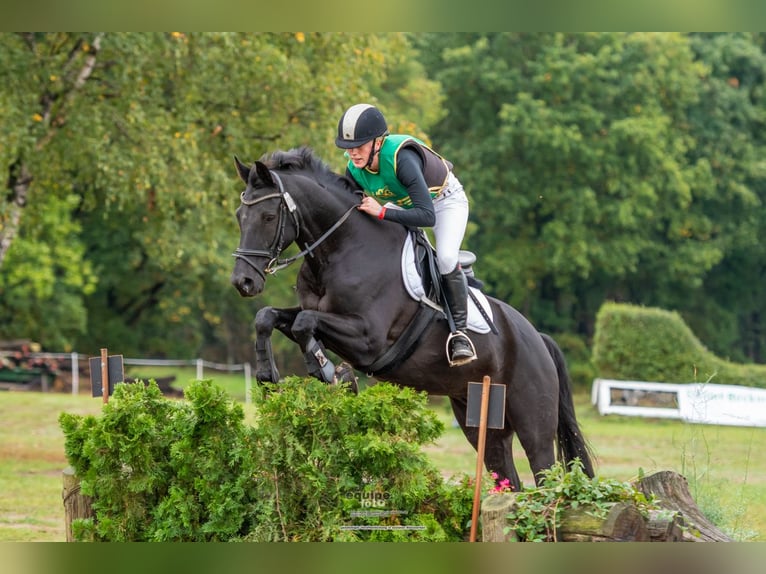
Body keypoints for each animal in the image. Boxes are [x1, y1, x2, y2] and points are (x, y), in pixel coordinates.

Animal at [231, 148, 596, 490]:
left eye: (268, 216)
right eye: (239, 216)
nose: (243, 282)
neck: (341, 248)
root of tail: (537, 337)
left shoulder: (369, 339)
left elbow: (304, 322)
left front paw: (329, 371)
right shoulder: (323, 316)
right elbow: (270, 317)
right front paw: (268, 374)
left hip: (533, 422)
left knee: (543, 472)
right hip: (479, 419)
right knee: (508, 479)